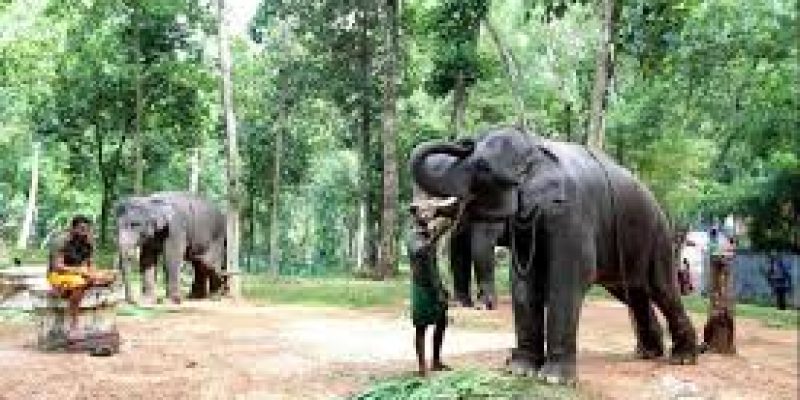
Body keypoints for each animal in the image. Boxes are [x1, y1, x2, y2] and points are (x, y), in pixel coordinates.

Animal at [409, 125, 698, 384]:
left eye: (483, 167)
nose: (464, 141)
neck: (536, 147)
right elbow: (523, 284)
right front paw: (520, 371)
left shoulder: (571, 214)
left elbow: (568, 279)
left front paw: (553, 378)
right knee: (634, 293)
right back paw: (648, 353)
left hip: (657, 237)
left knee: (661, 289)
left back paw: (683, 358)